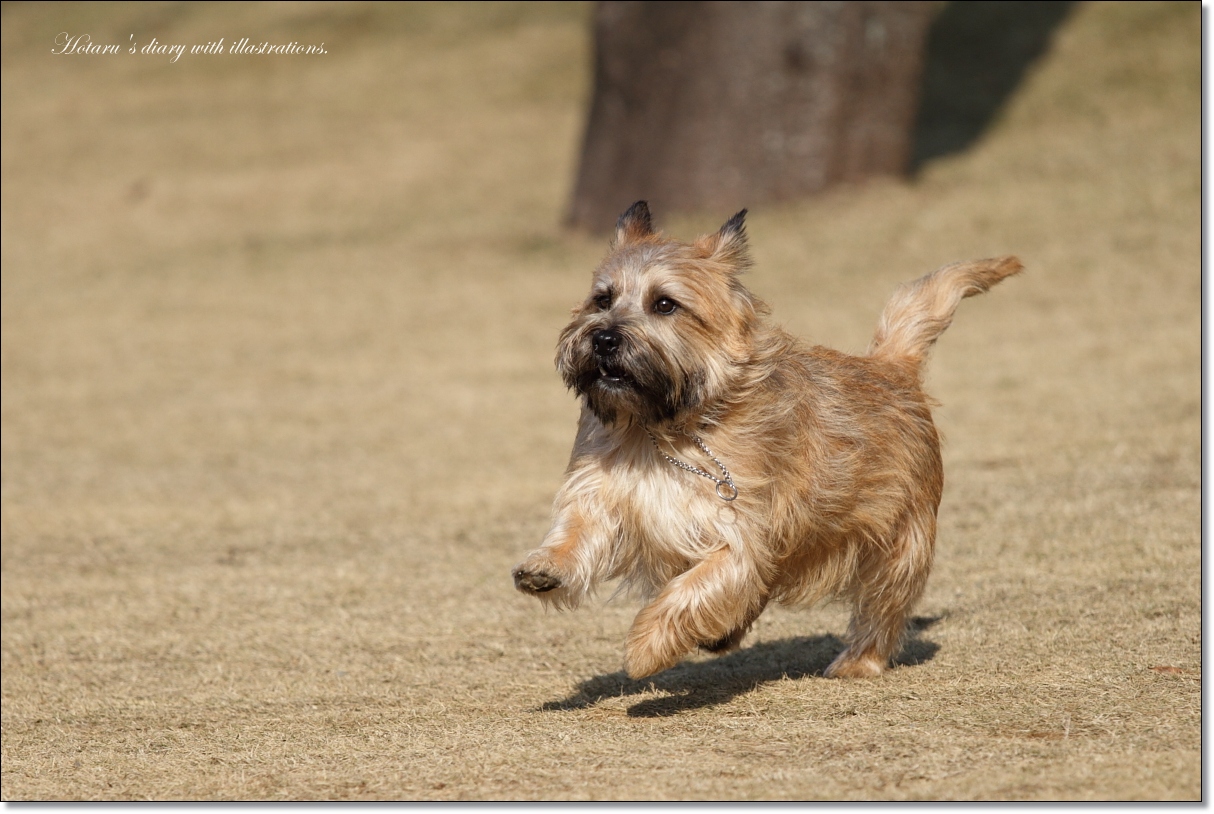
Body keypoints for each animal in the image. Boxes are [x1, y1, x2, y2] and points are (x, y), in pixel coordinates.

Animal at [514, 200, 1024, 679]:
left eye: (664, 304)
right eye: (603, 299)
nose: (603, 338)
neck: (661, 429)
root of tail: (891, 365)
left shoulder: (739, 531)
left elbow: (693, 588)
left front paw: (647, 646)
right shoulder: (606, 492)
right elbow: (580, 530)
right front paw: (547, 567)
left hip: (900, 541)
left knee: (884, 607)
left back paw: (859, 660)